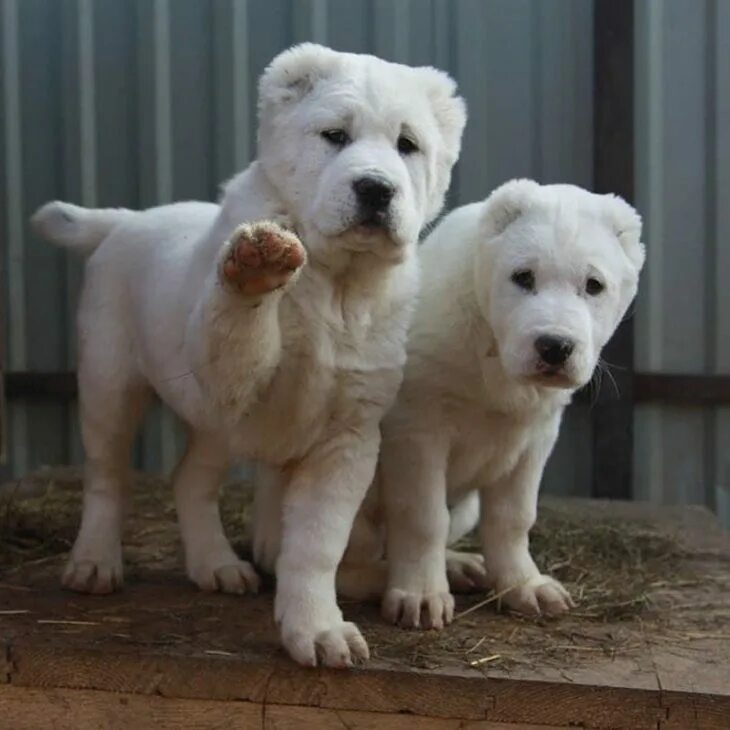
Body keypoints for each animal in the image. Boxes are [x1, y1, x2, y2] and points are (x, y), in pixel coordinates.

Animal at [31, 43, 466, 666]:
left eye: (408, 145)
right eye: (334, 135)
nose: (376, 189)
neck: (339, 288)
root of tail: (130, 219)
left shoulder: (347, 439)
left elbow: (317, 547)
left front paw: (317, 629)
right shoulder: (232, 378)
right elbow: (240, 330)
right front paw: (258, 266)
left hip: (214, 427)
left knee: (190, 479)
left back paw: (216, 565)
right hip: (110, 383)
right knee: (106, 476)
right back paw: (93, 562)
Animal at [341, 179, 645, 629]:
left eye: (593, 285)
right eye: (523, 277)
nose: (555, 347)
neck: (493, 347)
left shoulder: (536, 437)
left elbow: (513, 517)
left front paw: (523, 585)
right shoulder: (418, 430)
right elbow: (422, 516)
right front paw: (421, 594)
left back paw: (458, 565)